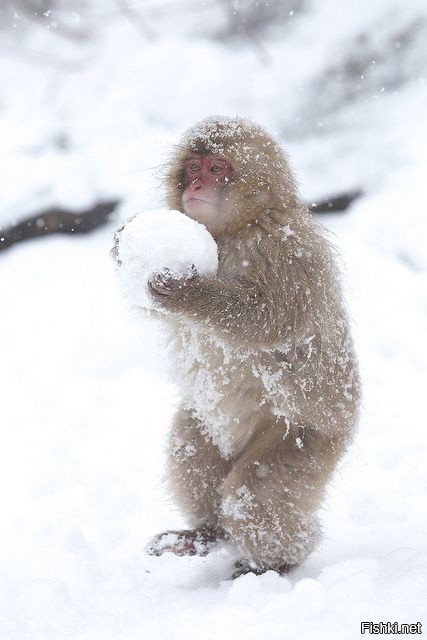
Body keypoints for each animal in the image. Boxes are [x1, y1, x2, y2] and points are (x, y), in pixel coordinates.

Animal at [120, 116, 362, 580]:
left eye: (217, 168)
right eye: (193, 168)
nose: (196, 186)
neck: (235, 229)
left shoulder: (285, 250)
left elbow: (269, 319)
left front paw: (187, 294)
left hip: (307, 441)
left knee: (254, 494)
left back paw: (274, 562)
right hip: (207, 421)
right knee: (192, 452)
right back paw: (205, 533)